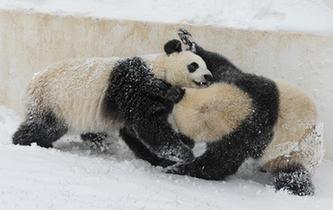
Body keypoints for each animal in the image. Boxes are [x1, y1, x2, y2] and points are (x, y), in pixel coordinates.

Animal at [12, 39, 213, 163]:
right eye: (194, 65)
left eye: (206, 65)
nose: (208, 77)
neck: (159, 70)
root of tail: (31, 83)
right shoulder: (135, 87)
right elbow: (149, 126)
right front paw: (183, 153)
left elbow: (135, 131)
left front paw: (157, 157)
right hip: (51, 100)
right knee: (45, 126)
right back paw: (28, 142)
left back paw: (98, 141)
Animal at [119, 30, 320, 196]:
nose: (181, 139)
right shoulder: (248, 87)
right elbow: (222, 66)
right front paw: (189, 40)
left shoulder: (246, 134)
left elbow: (219, 164)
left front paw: (176, 168)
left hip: (291, 150)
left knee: (293, 174)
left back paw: (293, 186)